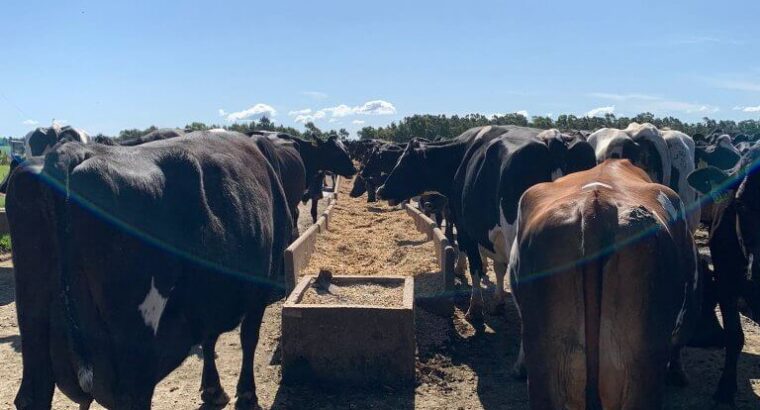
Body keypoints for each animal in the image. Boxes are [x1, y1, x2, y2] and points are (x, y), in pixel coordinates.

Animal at [8, 132, 294, 410]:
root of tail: (73, 152)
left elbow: (210, 338)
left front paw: (213, 389)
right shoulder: (261, 285)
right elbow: (248, 337)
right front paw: (246, 395)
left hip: (33, 316)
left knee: (32, 394)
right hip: (137, 343)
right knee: (132, 397)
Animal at [378, 126, 596, 318]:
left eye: (404, 161)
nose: (381, 189)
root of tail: (552, 137)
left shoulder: (465, 226)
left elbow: (473, 262)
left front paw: (474, 306)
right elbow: (498, 267)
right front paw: (498, 302)